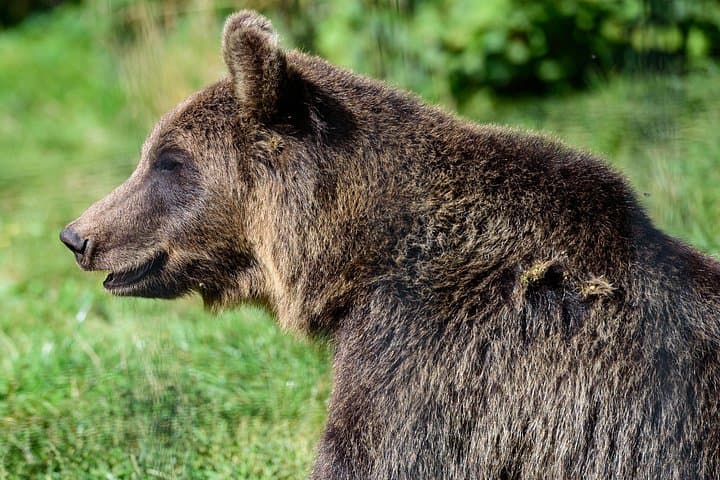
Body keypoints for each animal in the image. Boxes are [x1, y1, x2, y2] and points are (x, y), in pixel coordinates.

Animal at [60, 10, 720, 480]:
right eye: (152, 153)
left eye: (170, 162)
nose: (78, 235)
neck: (360, 256)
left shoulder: (436, 365)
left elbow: (373, 454)